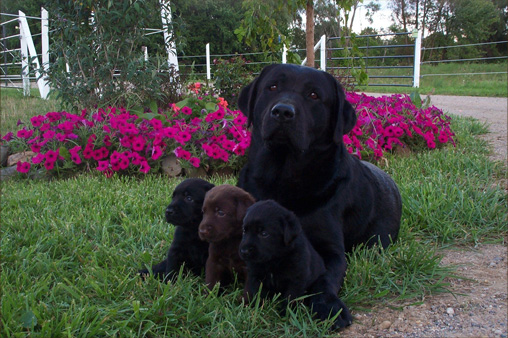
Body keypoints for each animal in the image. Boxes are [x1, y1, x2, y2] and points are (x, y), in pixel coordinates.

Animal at [237, 63, 400, 328]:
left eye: (313, 95)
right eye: (272, 86)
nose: (283, 112)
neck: (282, 178)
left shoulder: (331, 249)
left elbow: (323, 277)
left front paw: (328, 307)